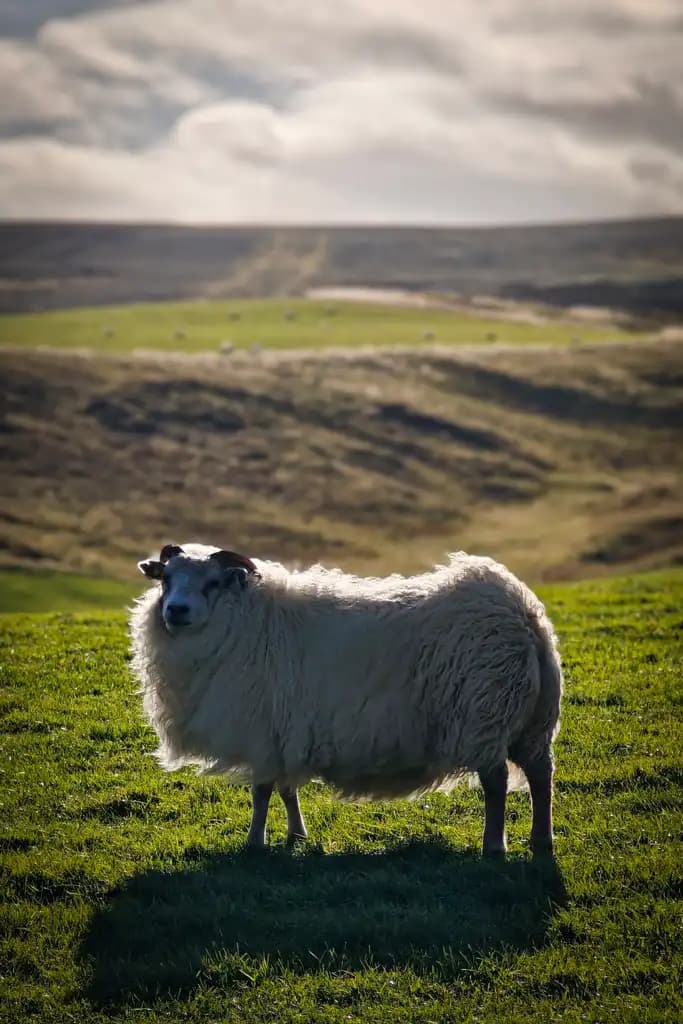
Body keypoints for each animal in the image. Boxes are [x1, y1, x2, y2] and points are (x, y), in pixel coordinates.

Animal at [130, 543, 562, 856]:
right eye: (166, 579)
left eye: (213, 583)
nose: (176, 610)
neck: (242, 618)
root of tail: (522, 611)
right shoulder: (284, 731)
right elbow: (287, 789)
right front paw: (296, 835)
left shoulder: (261, 729)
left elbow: (261, 792)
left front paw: (254, 842)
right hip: (531, 721)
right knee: (541, 774)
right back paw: (542, 839)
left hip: (485, 714)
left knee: (497, 782)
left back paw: (494, 846)